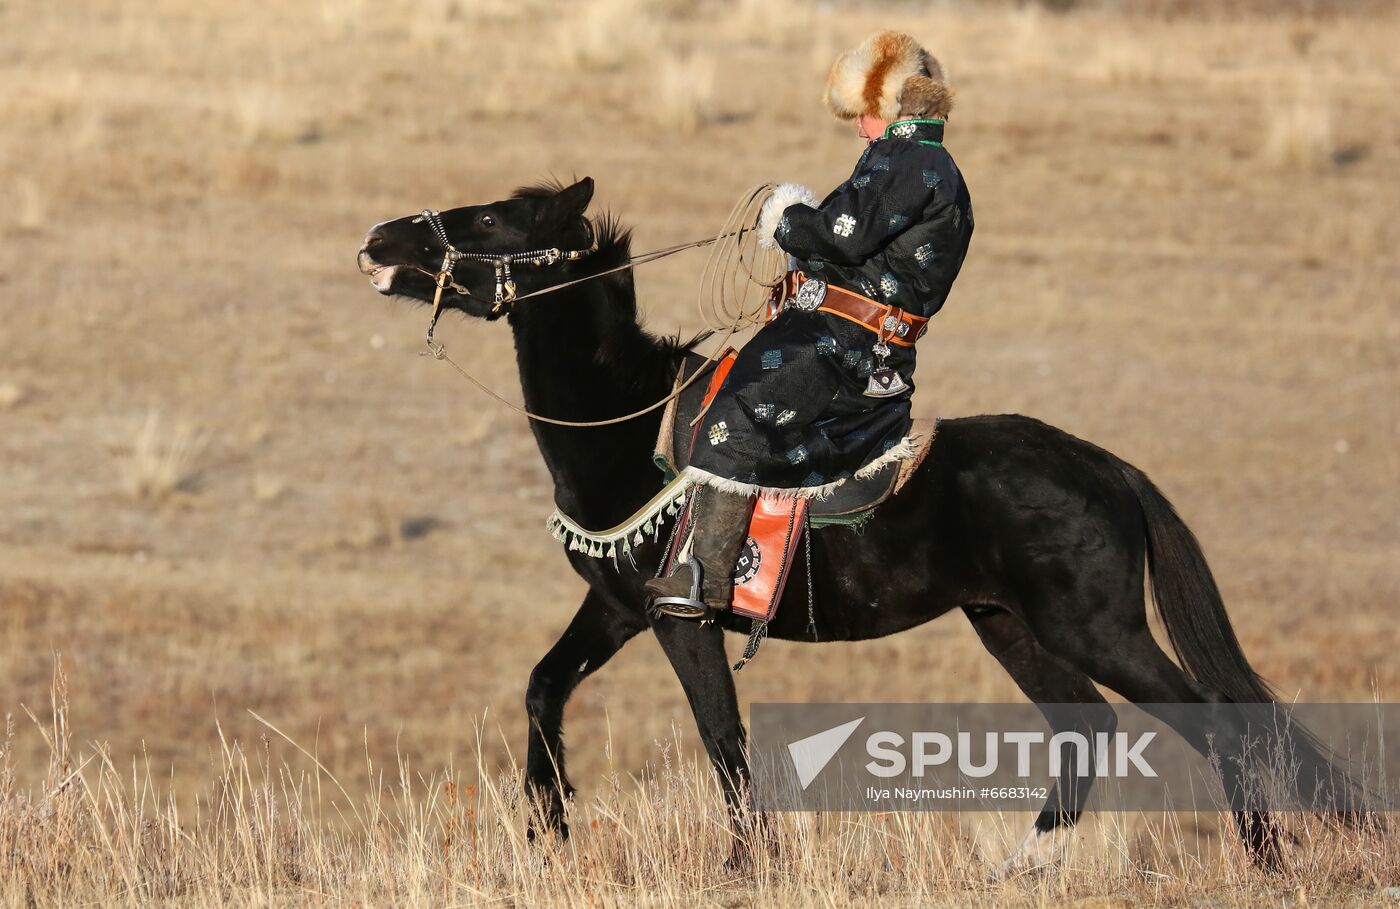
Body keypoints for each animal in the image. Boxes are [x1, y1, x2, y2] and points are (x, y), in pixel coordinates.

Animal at [358, 175, 1332, 873]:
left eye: (489, 219)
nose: (380, 241)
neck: (629, 428)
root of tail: (1104, 466)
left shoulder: (681, 619)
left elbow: (723, 737)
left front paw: (745, 864)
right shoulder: (620, 609)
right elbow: (544, 686)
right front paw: (548, 828)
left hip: (1095, 628)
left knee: (1209, 714)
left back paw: (1266, 858)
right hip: (1012, 625)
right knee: (1085, 729)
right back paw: (1021, 864)